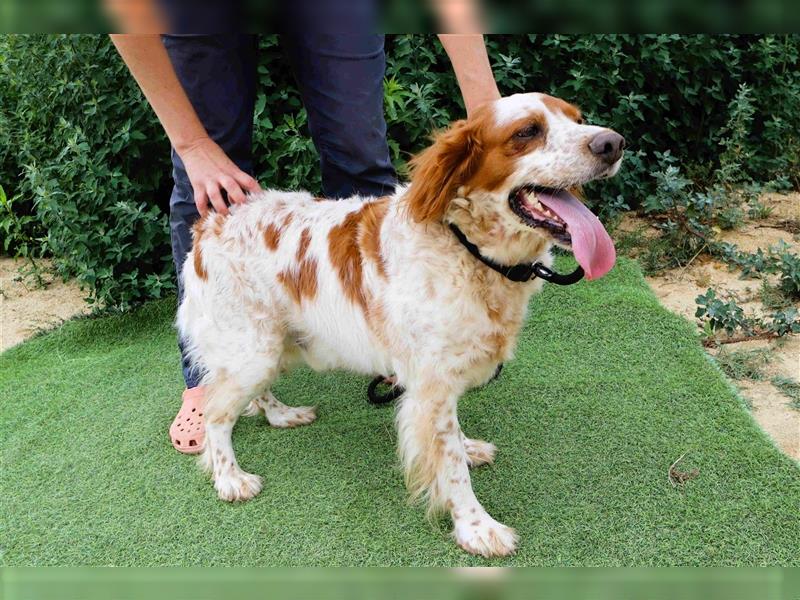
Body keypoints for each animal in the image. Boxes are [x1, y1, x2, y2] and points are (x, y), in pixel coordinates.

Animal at [178, 92, 620, 556]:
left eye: (577, 119)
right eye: (527, 131)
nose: (613, 143)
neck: (467, 248)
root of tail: (209, 223)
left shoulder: (441, 379)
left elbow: (450, 439)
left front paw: (468, 448)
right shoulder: (430, 383)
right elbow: (450, 466)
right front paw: (477, 528)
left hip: (265, 346)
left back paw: (283, 415)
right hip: (252, 348)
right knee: (216, 413)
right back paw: (230, 478)